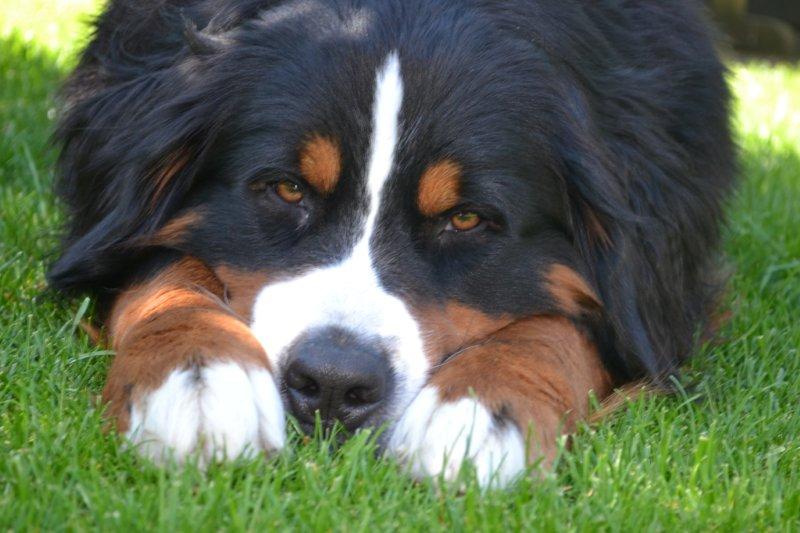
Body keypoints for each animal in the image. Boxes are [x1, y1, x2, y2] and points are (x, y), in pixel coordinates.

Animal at [49, 0, 734, 487]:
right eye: (287, 188)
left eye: (466, 219)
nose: (332, 383)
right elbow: (167, 277)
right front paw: (198, 377)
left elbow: (561, 327)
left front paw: (482, 410)